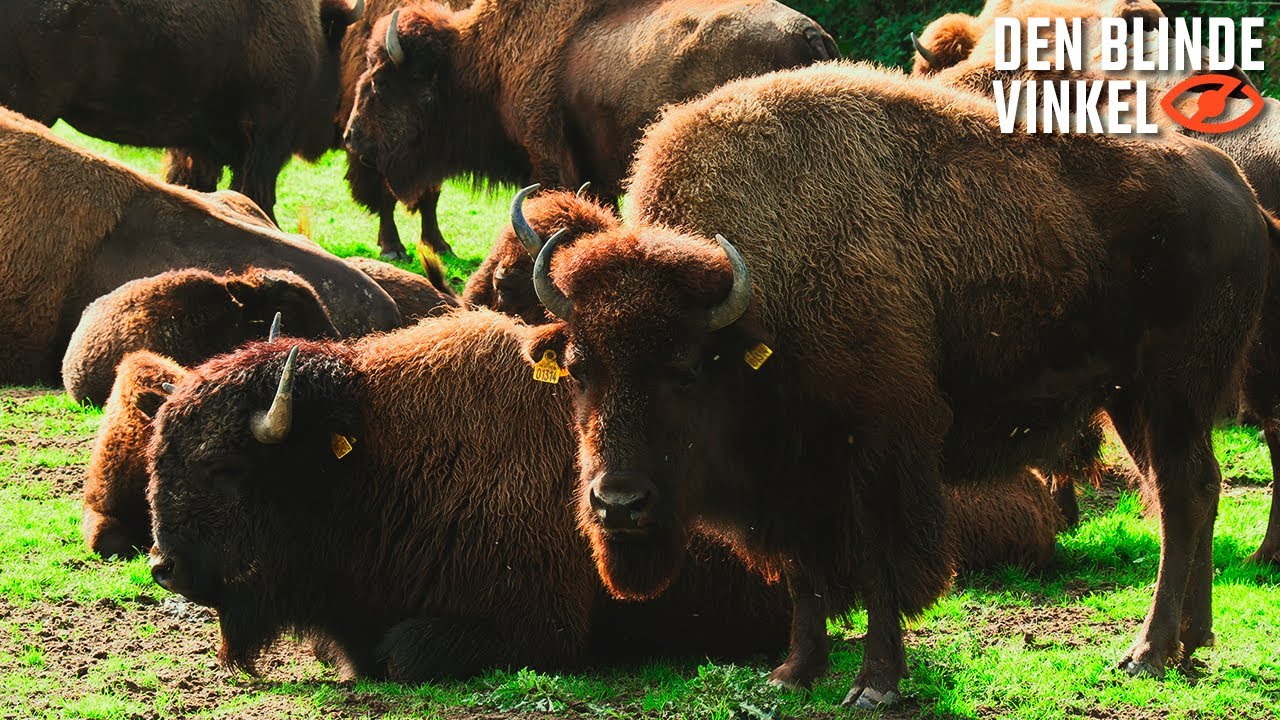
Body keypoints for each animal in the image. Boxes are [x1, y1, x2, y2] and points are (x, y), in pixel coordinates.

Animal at [514, 63, 1273, 707]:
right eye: (578, 367)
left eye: (686, 368)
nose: (618, 504)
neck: (759, 296)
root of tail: (1236, 190)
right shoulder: (793, 478)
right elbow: (805, 571)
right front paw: (793, 672)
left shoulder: (880, 448)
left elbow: (881, 564)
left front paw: (875, 683)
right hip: (1131, 400)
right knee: (1192, 490)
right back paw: (1193, 639)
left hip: (1170, 393)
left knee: (1180, 494)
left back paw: (1147, 652)